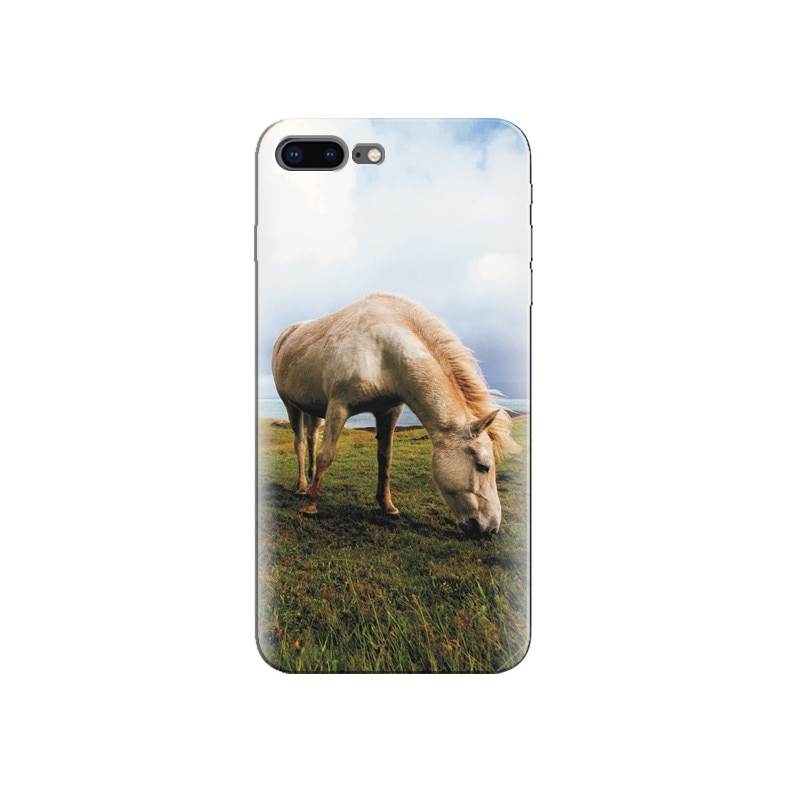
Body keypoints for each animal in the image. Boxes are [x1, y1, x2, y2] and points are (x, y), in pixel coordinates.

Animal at [271, 292, 519, 535]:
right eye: (483, 466)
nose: (492, 528)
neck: (382, 351)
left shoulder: (389, 411)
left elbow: (385, 458)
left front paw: (387, 505)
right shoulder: (338, 407)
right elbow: (326, 455)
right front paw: (310, 507)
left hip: (314, 410)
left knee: (312, 439)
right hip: (291, 405)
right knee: (301, 444)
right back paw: (303, 487)